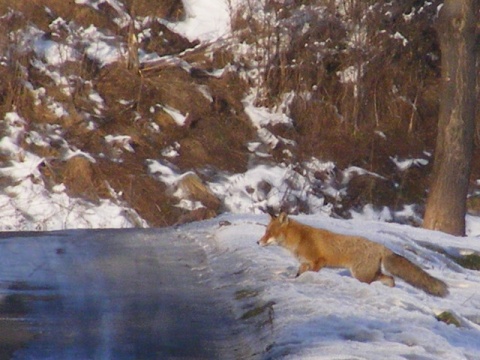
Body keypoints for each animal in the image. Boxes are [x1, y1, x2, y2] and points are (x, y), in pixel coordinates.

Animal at [258, 212, 450, 296]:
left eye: (269, 233)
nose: (258, 243)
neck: (300, 239)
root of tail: (382, 247)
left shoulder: (318, 262)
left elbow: (309, 273)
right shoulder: (304, 263)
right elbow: (298, 274)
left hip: (360, 274)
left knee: (382, 279)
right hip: (369, 273)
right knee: (390, 278)